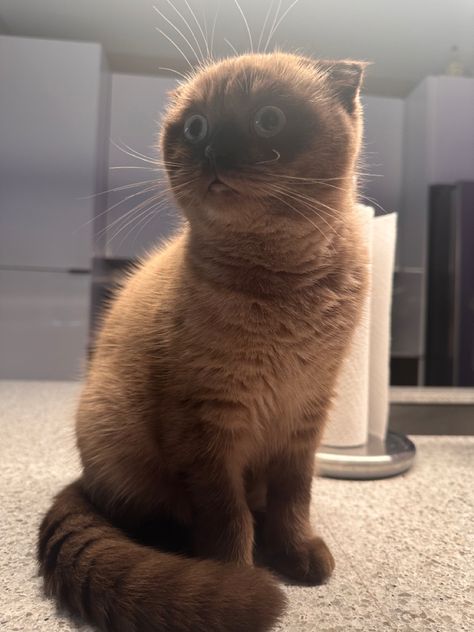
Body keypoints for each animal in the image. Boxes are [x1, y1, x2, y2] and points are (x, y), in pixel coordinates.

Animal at [39, 51, 368, 628]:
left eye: (268, 120)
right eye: (195, 127)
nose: (213, 148)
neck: (283, 283)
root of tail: (83, 479)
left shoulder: (304, 417)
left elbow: (293, 501)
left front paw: (298, 556)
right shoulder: (208, 426)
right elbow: (226, 518)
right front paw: (240, 577)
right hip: (120, 445)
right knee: (146, 517)